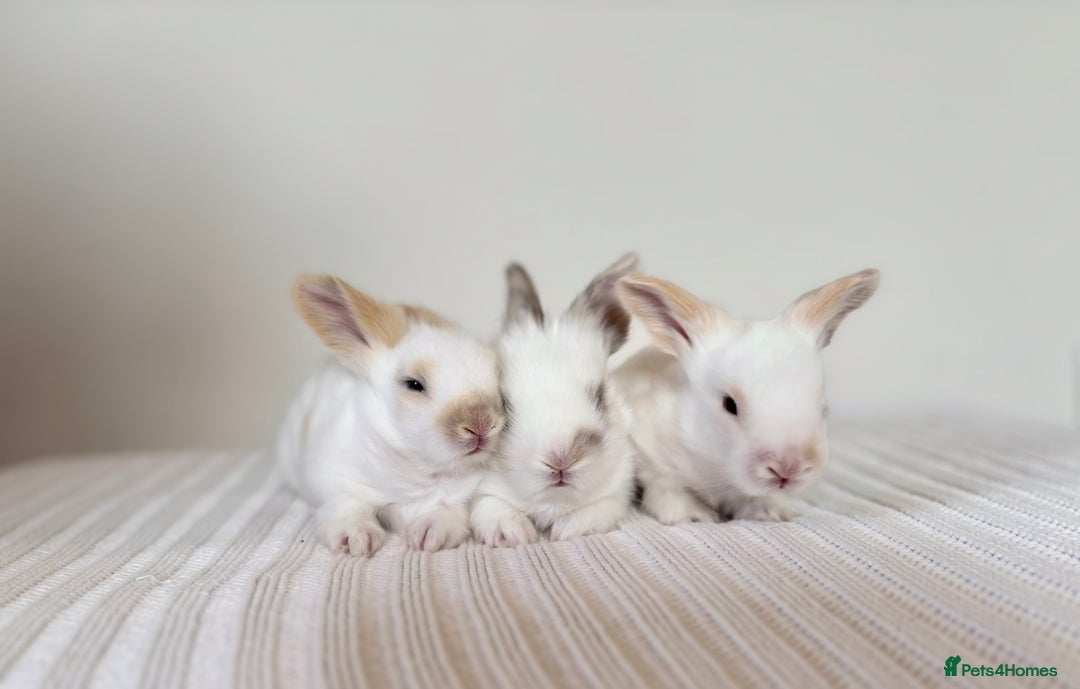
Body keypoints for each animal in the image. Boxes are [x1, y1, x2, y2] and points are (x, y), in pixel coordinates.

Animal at [276, 274, 505, 555]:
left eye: (496, 375)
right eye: (414, 384)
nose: (481, 424)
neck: (419, 466)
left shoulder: (457, 498)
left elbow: (445, 511)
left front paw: (429, 536)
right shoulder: (336, 480)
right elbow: (348, 505)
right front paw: (356, 539)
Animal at [470, 254, 639, 546]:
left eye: (600, 395)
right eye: (504, 403)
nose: (560, 459)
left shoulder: (618, 491)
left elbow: (599, 510)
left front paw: (570, 529)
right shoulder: (481, 490)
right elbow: (490, 505)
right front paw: (513, 533)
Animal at [612, 268, 879, 523]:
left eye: (824, 408)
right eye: (730, 405)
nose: (788, 469)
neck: (719, 469)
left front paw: (770, 512)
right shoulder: (653, 459)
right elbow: (669, 490)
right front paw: (696, 515)